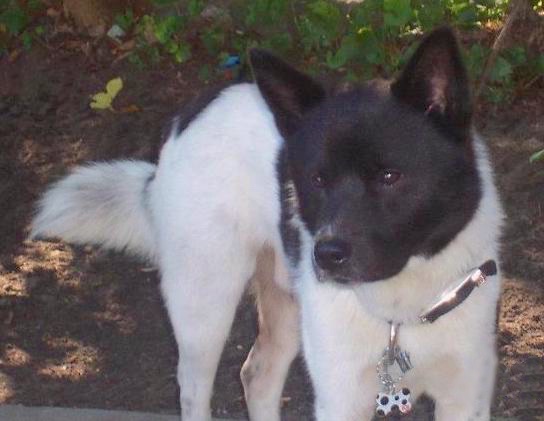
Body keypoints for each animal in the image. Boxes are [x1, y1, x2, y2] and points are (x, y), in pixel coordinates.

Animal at [31, 27, 504, 420]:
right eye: (317, 179)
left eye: (390, 176)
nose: (326, 256)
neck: (400, 313)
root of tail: (188, 115)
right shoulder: (342, 398)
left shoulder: (466, 394)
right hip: (205, 302)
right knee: (193, 386)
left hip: (284, 301)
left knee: (256, 374)